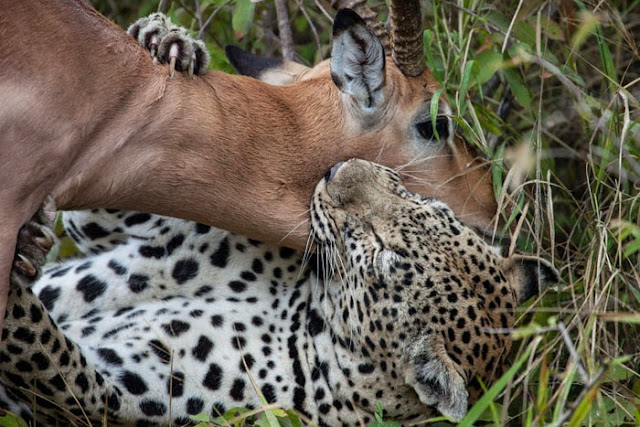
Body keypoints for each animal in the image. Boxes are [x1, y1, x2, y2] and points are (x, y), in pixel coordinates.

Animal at [0, 159, 556, 426]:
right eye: (428, 207)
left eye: (381, 252)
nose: (339, 168)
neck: (307, 314)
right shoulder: (163, 243)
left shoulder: (111, 395)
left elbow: (45, 352)